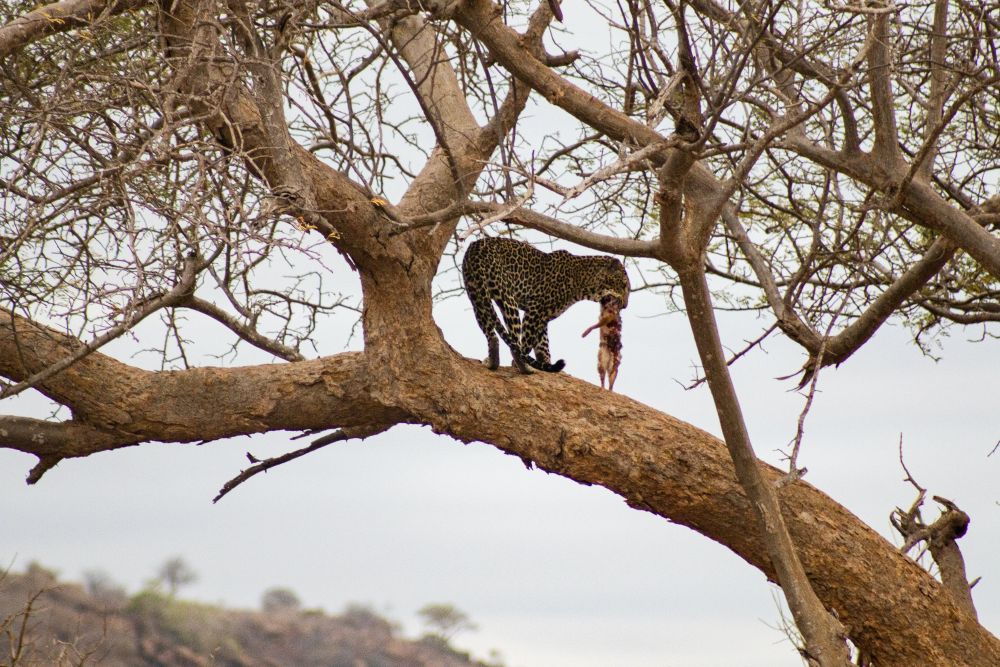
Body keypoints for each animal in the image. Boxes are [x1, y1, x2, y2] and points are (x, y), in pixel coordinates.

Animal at [462, 236, 630, 374]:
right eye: (623, 286)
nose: (625, 306)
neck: (584, 282)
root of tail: (475, 247)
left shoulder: (543, 316)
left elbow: (542, 344)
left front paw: (547, 363)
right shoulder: (535, 310)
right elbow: (528, 341)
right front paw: (526, 363)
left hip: (476, 293)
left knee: (490, 332)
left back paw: (492, 361)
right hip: (507, 298)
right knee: (514, 341)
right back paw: (523, 365)